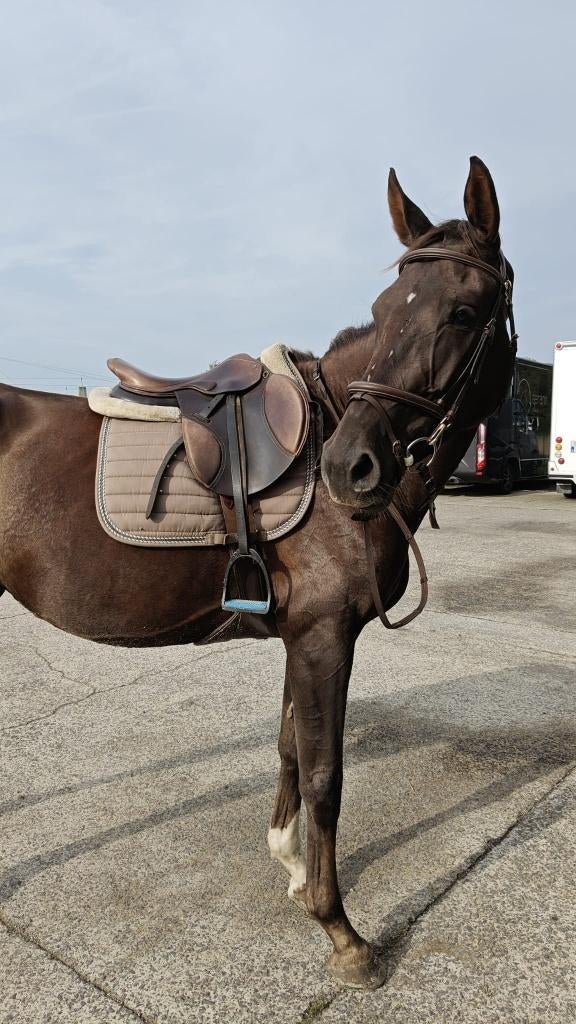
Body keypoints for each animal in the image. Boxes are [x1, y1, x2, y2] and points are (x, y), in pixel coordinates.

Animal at [0, 156, 516, 989]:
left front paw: (294, 870)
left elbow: (288, 749)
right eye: (383, 308)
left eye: (464, 312)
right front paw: (341, 931)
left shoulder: (303, 634)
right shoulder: (325, 637)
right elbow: (326, 775)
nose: (348, 467)